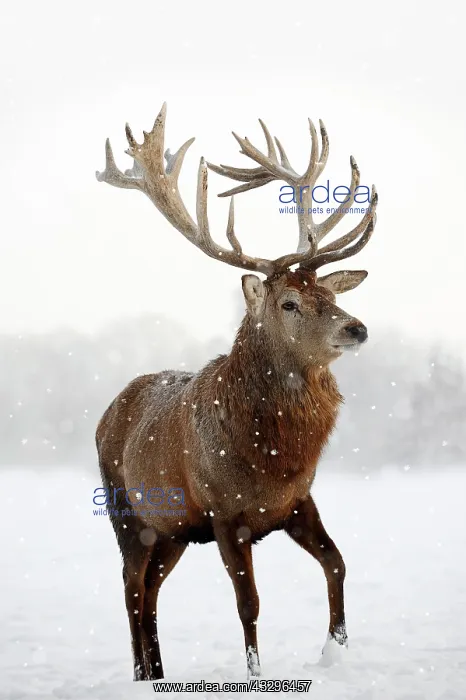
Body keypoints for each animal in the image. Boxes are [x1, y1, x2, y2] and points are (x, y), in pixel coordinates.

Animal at [95, 103, 377, 682]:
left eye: (328, 292)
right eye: (289, 302)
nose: (356, 328)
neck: (272, 457)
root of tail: (104, 415)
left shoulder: (297, 502)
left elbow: (337, 562)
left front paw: (335, 649)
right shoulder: (225, 513)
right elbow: (249, 603)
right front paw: (255, 674)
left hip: (172, 532)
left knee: (150, 590)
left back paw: (158, 671)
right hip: (127, 513)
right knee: (131, 587)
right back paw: (143, 673)